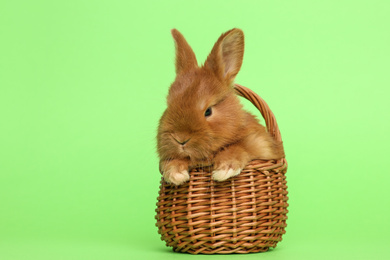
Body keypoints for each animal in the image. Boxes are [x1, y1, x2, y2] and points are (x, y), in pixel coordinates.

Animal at [157, 28, 284, 185]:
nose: (181, 139)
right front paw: (175, 174)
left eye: (208, 111)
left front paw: (224, 170)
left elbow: (238, 147)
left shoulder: (261, 144)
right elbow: (172, 161)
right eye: (168, 106)